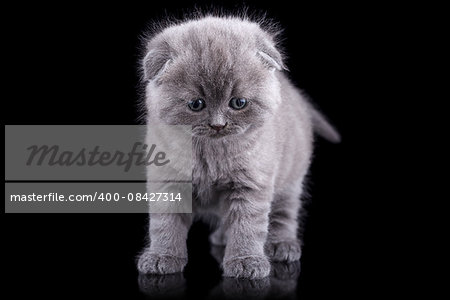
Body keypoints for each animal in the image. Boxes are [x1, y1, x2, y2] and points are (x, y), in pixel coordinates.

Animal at [137, 15, 342, 278]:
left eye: (238, 103)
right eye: (196, 104)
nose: (218, 125)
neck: (210, 156)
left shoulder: (252, 181)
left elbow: (247, 224)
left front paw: (246, 261)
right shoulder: (167, 180)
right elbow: (165, 224)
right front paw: (162, 256)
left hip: (291, 178)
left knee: (284, 212)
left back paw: (282, 245)